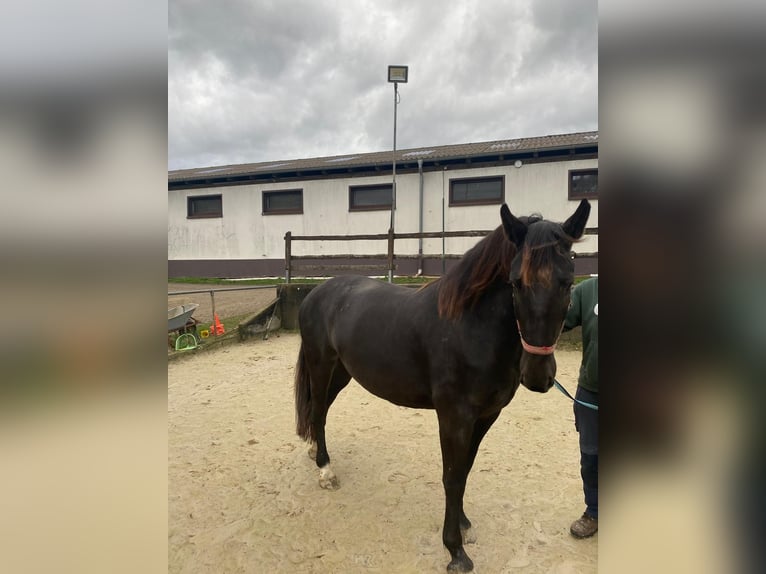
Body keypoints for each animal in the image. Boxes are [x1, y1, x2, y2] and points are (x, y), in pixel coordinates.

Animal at [296, 200, 592, 572]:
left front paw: (464, 525)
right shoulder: (454, 416)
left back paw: (314, 453)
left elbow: (464, 470)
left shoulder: (486, 415)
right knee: (319, 411)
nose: (538, 376)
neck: (469, 326)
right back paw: (325, 471)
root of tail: (317, 292)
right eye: (516, 283)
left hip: (341, 373)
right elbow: (452, 476)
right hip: (321, 366)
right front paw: (455, 552)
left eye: (568, 282)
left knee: (318, 412)